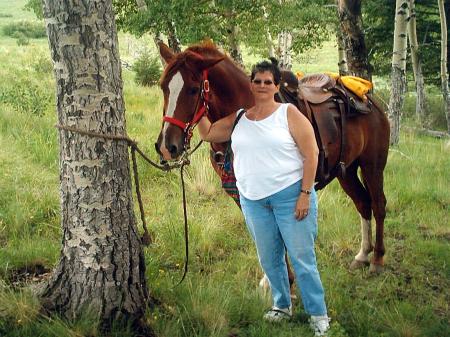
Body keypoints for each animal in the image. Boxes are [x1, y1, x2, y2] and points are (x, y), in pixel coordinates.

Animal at [153, 40, 388, 276]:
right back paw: (362, 255)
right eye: (163, 87)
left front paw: (286, 279)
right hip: (345, 170)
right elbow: (261, 234)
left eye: (193, 90)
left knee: (378, 204)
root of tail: (370, 99)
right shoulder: (242, 193)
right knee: (362, 202)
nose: (166, 146)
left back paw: (377, 259)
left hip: (372, 165)